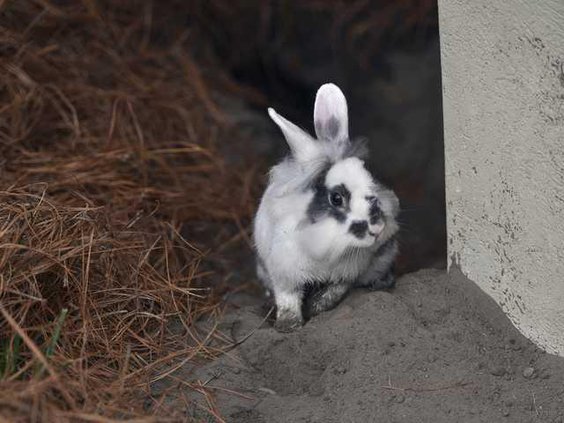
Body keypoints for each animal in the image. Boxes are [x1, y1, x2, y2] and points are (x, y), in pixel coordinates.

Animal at [253, 83, 398, 332]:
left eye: (372, 177)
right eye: (336, 198)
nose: (377, 229)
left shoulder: (348, 271)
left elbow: (336, 290)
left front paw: (316, 307)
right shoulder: (283, 270)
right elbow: (287, 298)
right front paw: (288, 325)